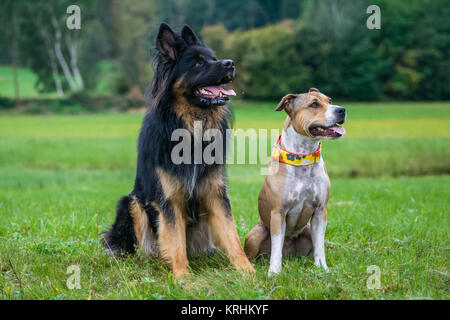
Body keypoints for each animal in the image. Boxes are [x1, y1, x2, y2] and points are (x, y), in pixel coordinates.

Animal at [244, 88, 346, 278]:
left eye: (330, 100)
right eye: (314, 104)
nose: (342, 110)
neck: (303, 157)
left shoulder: (320, 211)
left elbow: (320, 246)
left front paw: (323, 268)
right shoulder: (278, 212)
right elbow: (276, 246)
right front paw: (274, 272)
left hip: (307, 229)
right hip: (256, 233)